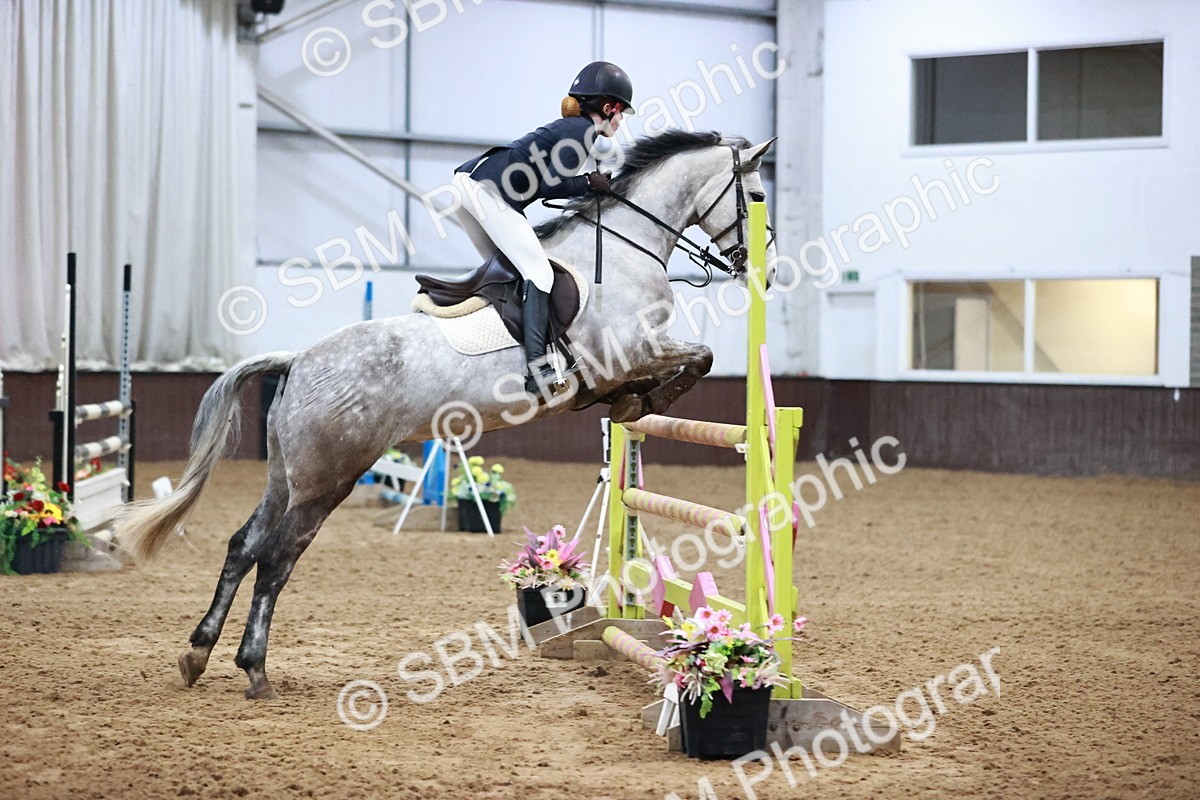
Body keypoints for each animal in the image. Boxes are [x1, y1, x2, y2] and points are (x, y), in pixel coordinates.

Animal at [116, 129, 778, 700]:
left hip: (289, 475)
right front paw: (647, 401)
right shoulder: (631, 351)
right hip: (328, 480)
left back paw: (197, 654)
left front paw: (631, 404)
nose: (760, 267)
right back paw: (254, 670)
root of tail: (299, 359)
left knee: (243, 545)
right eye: (758, 197)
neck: (622, 253)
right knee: (276, 559)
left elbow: (667, 377)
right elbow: (700, 358)